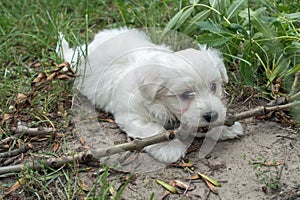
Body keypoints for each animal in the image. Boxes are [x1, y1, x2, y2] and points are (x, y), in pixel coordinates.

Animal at [56, 27, 244, 163]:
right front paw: (170, 148)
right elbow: (154, 130)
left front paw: (226, 127)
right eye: (185, 94)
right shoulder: (132, 116)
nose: (212, 115)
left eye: (214, 86)